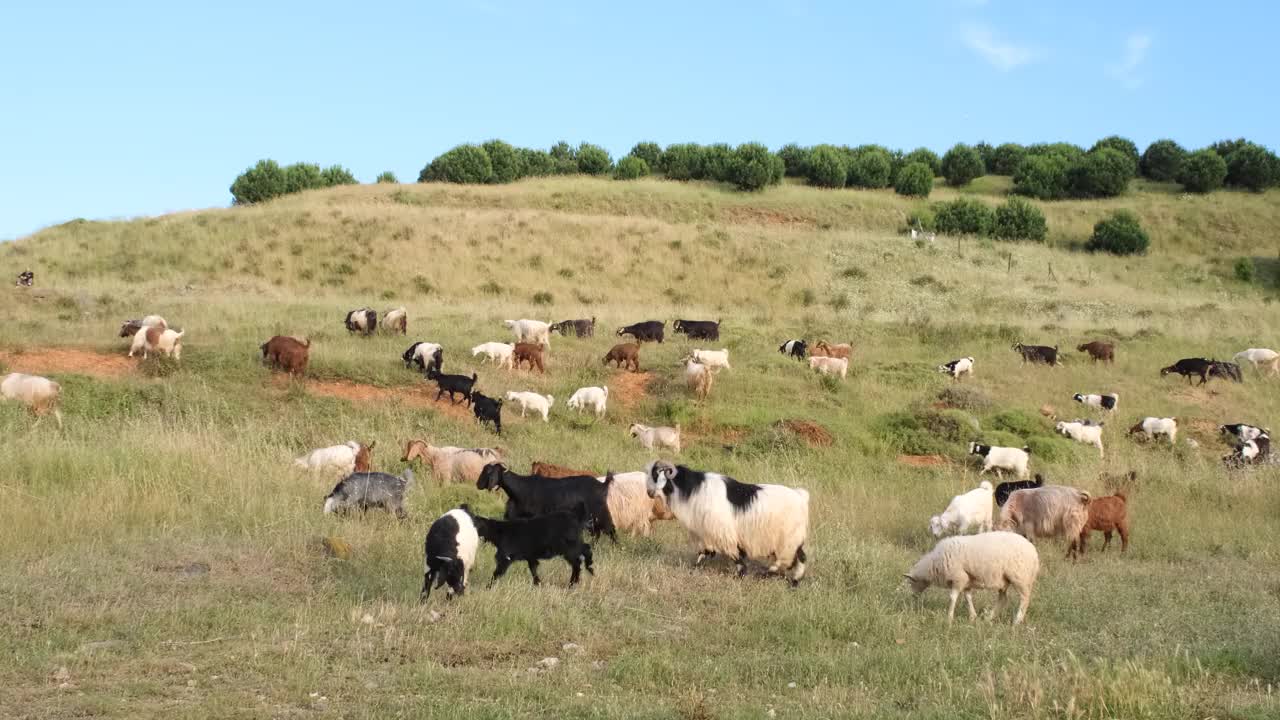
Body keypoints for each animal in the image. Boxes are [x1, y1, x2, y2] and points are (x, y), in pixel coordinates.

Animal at [481, 461, 619, 540]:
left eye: (489, 472)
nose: (479, 484)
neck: (521, 488)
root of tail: (603, 484)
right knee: (598, 532)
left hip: (600, 514)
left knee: (610, 529)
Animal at [650, 458, 808, 584]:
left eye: (664, 479)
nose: (650, 493)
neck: (694, 491)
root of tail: (800, 497)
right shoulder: (706, 531)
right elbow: (705, 551)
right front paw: (695, 567)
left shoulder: (723, 531)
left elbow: (733, 553)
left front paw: (741, 573)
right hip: (790, 539)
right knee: (798, 557)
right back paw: (790, 579)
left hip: (788, 538)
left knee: (793, 558)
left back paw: (776, 575)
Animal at [901, 527, 1039, 622]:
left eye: (911, 582)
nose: (913, 597)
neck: (934, 564)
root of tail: (1034, 553)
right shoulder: (966, 581)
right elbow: (968, 598)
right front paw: (973, 616)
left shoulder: (959, 578)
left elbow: (952, 597)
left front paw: (949, 618)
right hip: (1004, 580)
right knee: (1003, 599)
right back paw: (989, 617)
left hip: (1020, 577)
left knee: (1024, 599)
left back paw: (1017, 620)